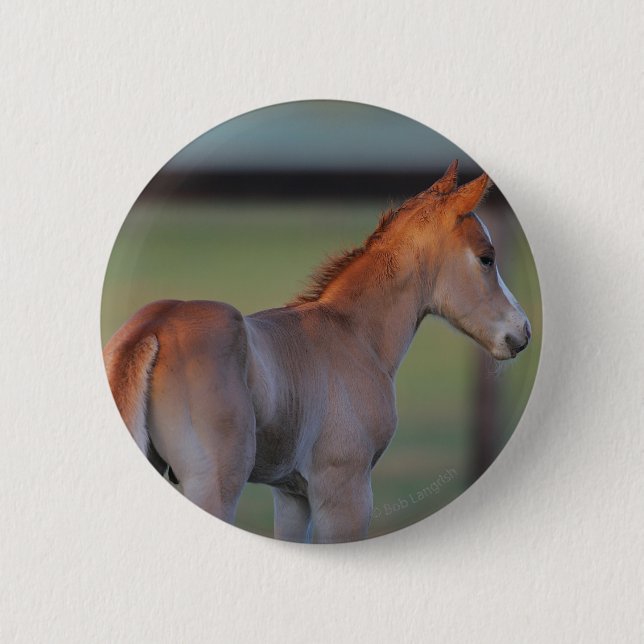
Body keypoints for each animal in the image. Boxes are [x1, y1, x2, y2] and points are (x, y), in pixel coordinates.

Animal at [103, 160, 531, 543]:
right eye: (486, 258)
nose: (522, 332)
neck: (353, 335)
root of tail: (153, 328)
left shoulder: (291, 494)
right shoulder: (345, 489)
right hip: (213, 484)